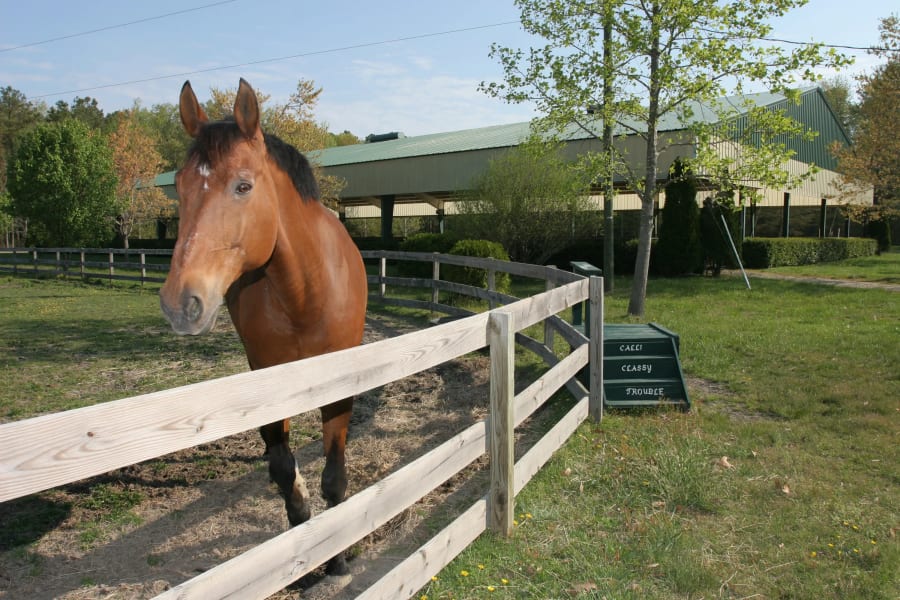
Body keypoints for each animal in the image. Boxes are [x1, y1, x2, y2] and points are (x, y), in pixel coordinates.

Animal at [158, 77, 366, 576]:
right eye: (179, 185)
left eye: (243, 186)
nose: (180, 303)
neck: (304, 295)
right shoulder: (269, 379)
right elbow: (284, 469)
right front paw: (303, 541)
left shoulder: (340, 386)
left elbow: (334, 475)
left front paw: (337, 559)